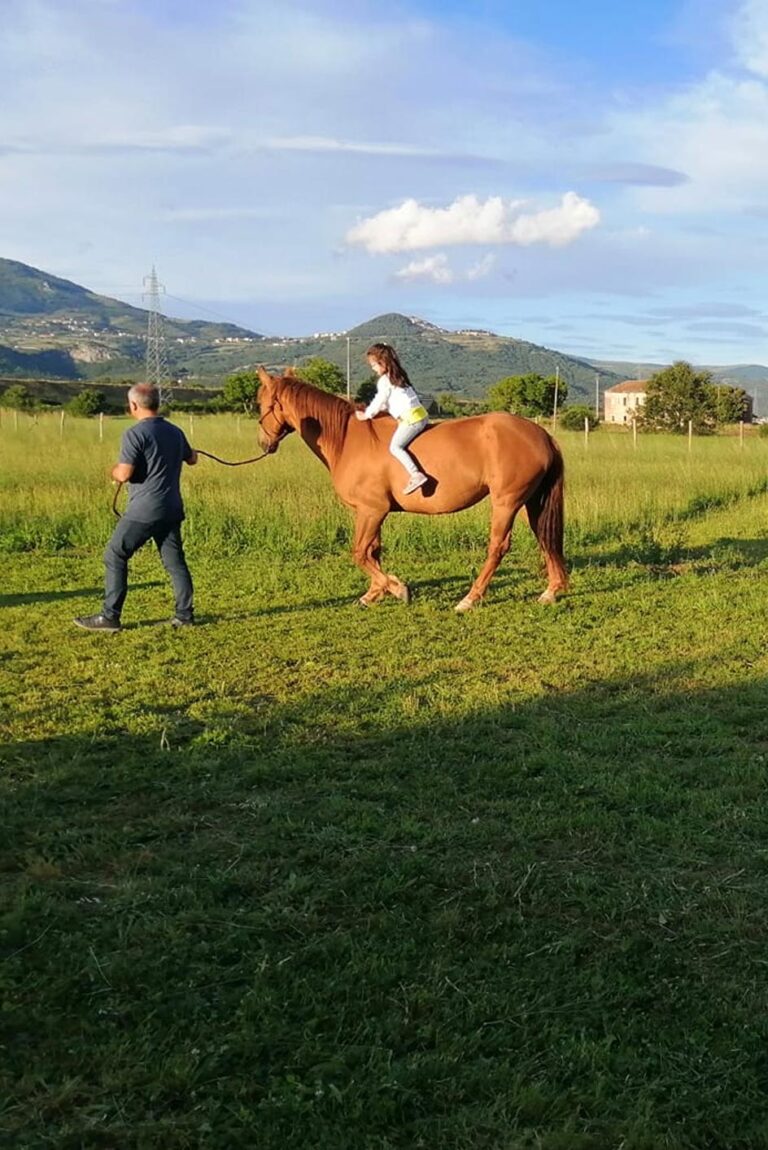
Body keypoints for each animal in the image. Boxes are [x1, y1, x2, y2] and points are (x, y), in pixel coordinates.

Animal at [256, 366, 567, 611]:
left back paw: (470, 598)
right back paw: (551, 591)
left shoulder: (371, 510)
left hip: (506, 502)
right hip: (532, 502)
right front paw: (374, 593)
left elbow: (359, 552)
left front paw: (396, 588)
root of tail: (541, 434)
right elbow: (373, 551)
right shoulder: (374, 512)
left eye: (261, 402)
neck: (347, 439)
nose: (263, 443)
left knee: (498, 547)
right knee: (545, 537)